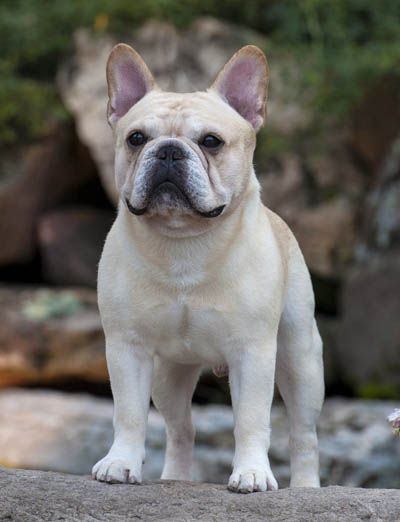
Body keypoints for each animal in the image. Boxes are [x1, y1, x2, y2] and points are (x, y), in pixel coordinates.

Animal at [92, 42, 324, 490]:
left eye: (212, 141)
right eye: (136, 138)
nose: (168, 150)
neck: (184, 241)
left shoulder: (253, 352)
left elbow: (251, 419)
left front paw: (252, 472)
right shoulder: (127, 347)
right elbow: (128, 413)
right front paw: (120, 462)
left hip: (300, 359)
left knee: (303, 433)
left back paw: (306, 487)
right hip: (169, 375)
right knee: (181, 428)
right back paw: (175, 480)